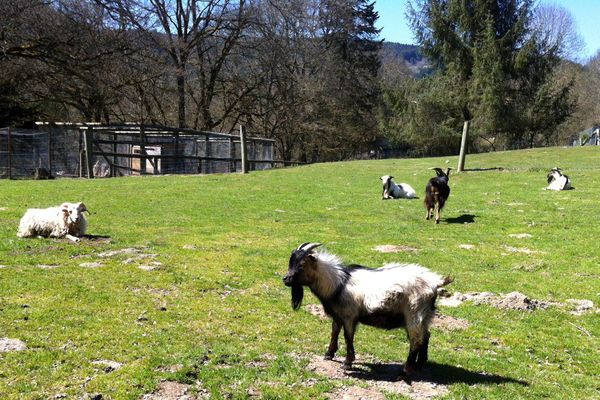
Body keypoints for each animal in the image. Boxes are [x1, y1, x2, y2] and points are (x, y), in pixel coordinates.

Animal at [284, 242, 452, 376]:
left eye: (301, 265)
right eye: (290, 262)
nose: (285, 279)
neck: (338, 284)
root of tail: (435, 283)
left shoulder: (349, 316)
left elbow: (348, 336)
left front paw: (347, 362)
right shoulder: (338, 315)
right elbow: (334, 332)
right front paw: (329, 354)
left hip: (414, 314)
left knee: (416, 340)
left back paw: (405, 371)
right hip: (426, 316)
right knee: (426, 336)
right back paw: (419, 364)